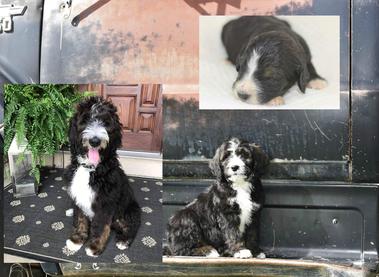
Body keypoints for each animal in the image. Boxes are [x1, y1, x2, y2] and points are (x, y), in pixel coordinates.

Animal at [64, 96, 142, 256]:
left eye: (106, 122)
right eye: (85, 120)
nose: (95, 141)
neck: (90, 168)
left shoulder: (105, 202)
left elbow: (100, 226)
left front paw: (95, 246)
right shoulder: (78, 195)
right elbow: (80, 219)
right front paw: (77, 240)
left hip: (127, 210)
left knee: (132, 224)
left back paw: (124, 240)